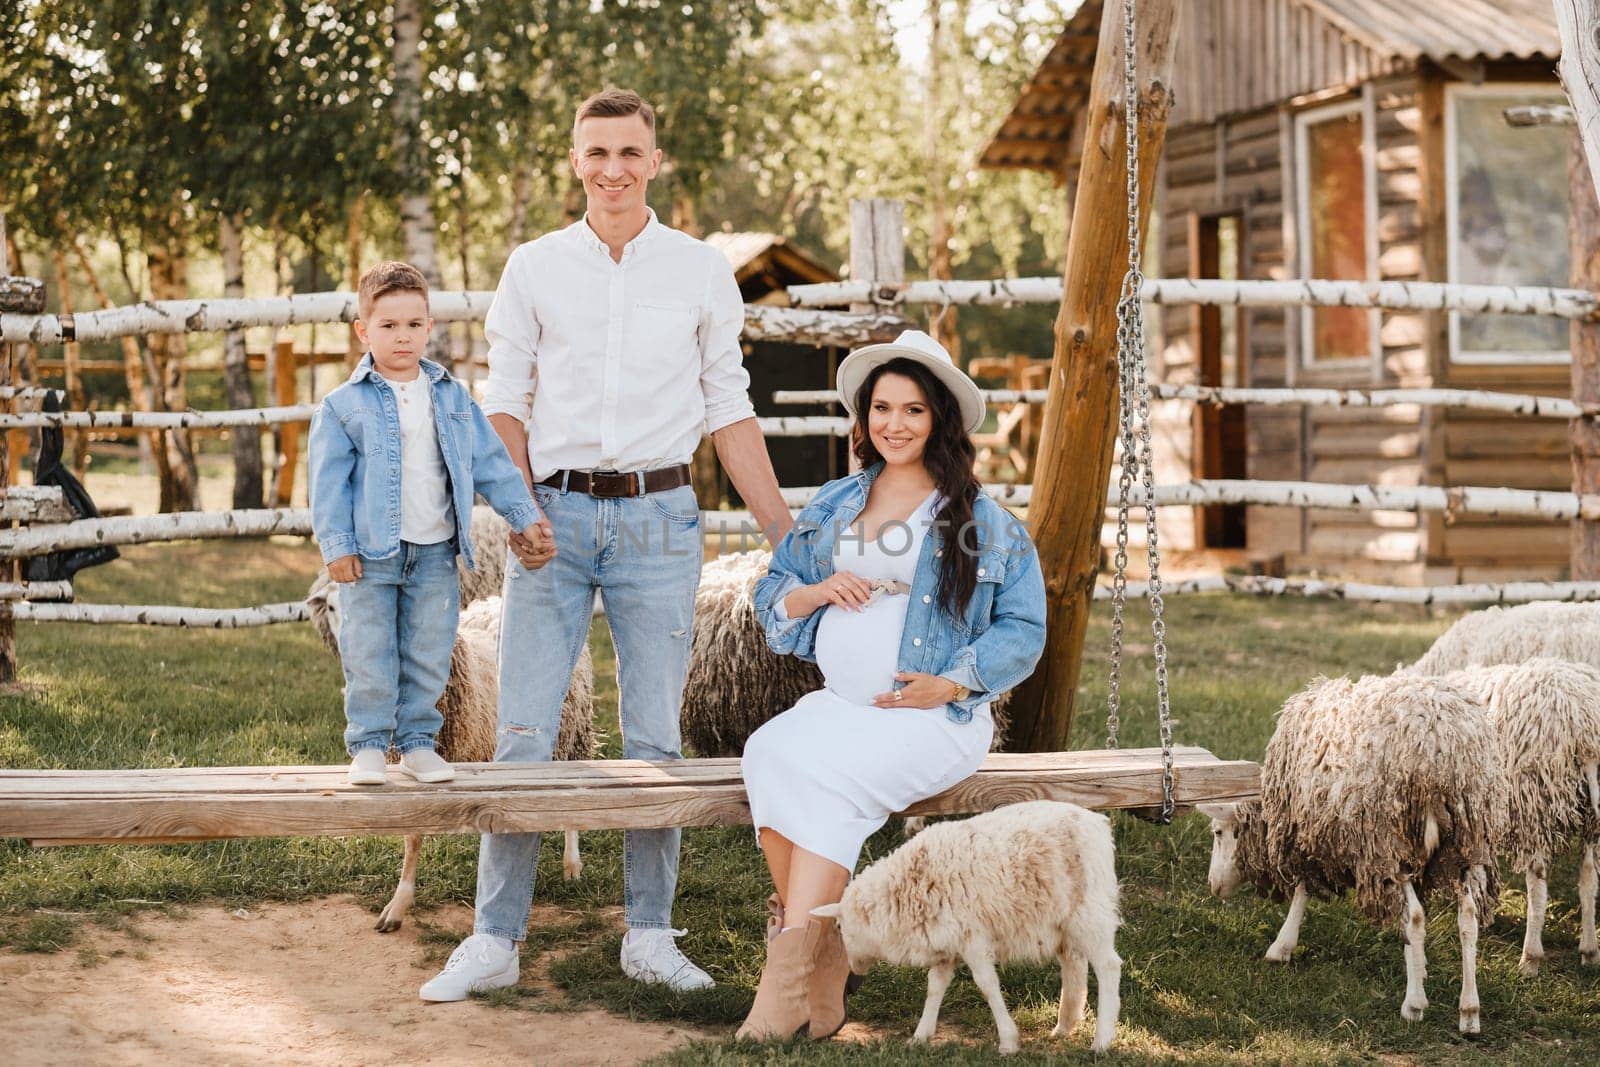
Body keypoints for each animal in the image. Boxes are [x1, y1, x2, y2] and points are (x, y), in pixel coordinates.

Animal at [304, 575, 595, 934]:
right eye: (331, 607)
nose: (353, 650)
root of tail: (496, 600)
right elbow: (413, 837)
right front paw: (399, 904)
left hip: (571, 729)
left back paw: (572, 863)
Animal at [812, 799, 1126, 1049]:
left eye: (839, 928)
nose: (853, 973)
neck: (907, 889)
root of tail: (1098, 824)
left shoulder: (972, 938)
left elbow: (987, 985)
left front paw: (1008, 1041)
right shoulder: (945, 943)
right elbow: (935, 987)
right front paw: (920, 1036)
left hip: (1090, 911)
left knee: (1108, 966)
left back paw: (1101, 1041)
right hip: (1065, 918)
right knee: (1074, 962)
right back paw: (1064, 1026)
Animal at [1203, 675, 1504, 1036]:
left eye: (1219, 833)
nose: (1213, 886)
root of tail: (1442, 749)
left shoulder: (1304, 833)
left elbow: (1302, 889)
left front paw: (1282, 946)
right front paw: (1421, 967)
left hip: (1389, 841)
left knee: (1415, 917)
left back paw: (1414, 1005)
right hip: (1464, 843)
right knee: (1468, 917)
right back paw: (1469, 1012)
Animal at [1440, 659, 1600, 979]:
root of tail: (1583, 722)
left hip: (1534, 801)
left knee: (1537, 882)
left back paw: (1530, 958)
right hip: (1589, 810)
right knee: (1588, 874)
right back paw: (1589, 951)